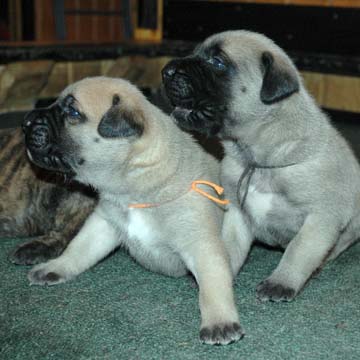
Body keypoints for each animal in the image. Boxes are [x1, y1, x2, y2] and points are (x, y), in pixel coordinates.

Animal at [22, 76, 245, 346]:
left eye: (72, 112)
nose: (25, 122)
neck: (134, 187)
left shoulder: (200, 243)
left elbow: (213, 283)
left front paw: (220, 322)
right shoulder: (104, 222)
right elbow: (79, 249)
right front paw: (56, 266)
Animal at [162, 29, 360, 302]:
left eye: (217, 62)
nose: (166, 70)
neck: (258, 160)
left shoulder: (321, 217)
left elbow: (299, 250)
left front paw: (280, 283)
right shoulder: (237, 213)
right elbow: (229, 247)